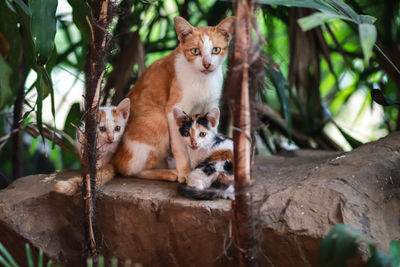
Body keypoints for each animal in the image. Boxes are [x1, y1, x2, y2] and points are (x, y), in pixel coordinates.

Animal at [53, 15, 234, 196]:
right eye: (195, 51)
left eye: (216, 50)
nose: (207, 64)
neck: (203, 81)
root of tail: (116, 156)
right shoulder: (172, 110)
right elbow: (180, 147)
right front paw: (186, 172)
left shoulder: (210, 106)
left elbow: (210, 136)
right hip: (158, 119)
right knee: (128, 170)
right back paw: (169, 173)